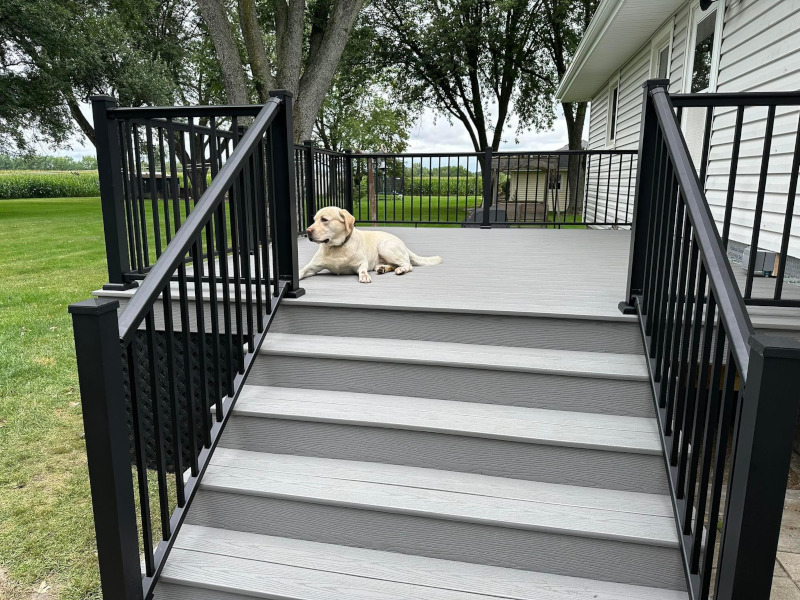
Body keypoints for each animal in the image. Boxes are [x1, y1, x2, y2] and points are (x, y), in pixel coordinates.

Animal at [302, 206, 444, 284]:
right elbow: (302, 270)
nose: (307, 231)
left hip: (385, 247)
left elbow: (363, 269)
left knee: (408, 265)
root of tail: (403, 244)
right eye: (314, 220)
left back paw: (400, 269)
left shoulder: (361, 262)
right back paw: (383, 268)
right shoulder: (312, 266)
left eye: (324, 220)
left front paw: (364, 275)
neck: (337, 247)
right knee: (394, 264)